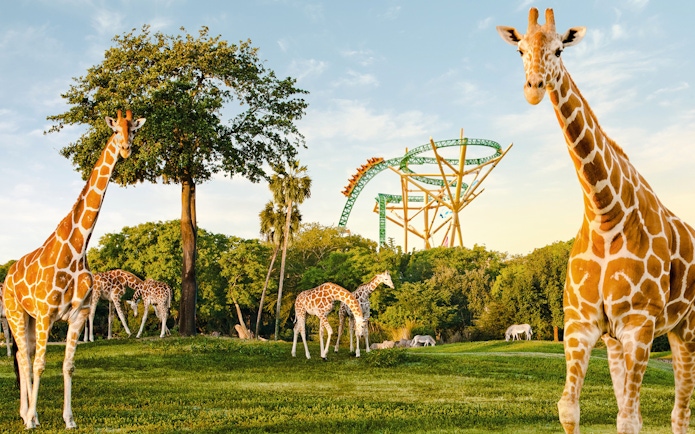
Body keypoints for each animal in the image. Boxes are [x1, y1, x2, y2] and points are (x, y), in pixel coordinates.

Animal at [2, 110, 145, 429]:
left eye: (133, 130)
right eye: (115, 129)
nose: (126, 149)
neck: (77, 251)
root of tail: (8, 275)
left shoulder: (77, 315)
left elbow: (68, 365)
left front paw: (69, 419)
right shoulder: (46, 313)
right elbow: (40, 364)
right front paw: (33, 420)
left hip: (29, 319)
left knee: (23, 355)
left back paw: (29, 413)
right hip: (16, 313)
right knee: (24, 359)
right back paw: (28, 416)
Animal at [498, 8, 695, 434]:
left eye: (560, 49)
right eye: (520, 49)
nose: (534, 87)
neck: (606, 215)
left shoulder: (640, 324)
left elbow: (629, 417)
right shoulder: (583, 325)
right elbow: (569, 407)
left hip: (685, 325)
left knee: (680, 412)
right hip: (622, 339)